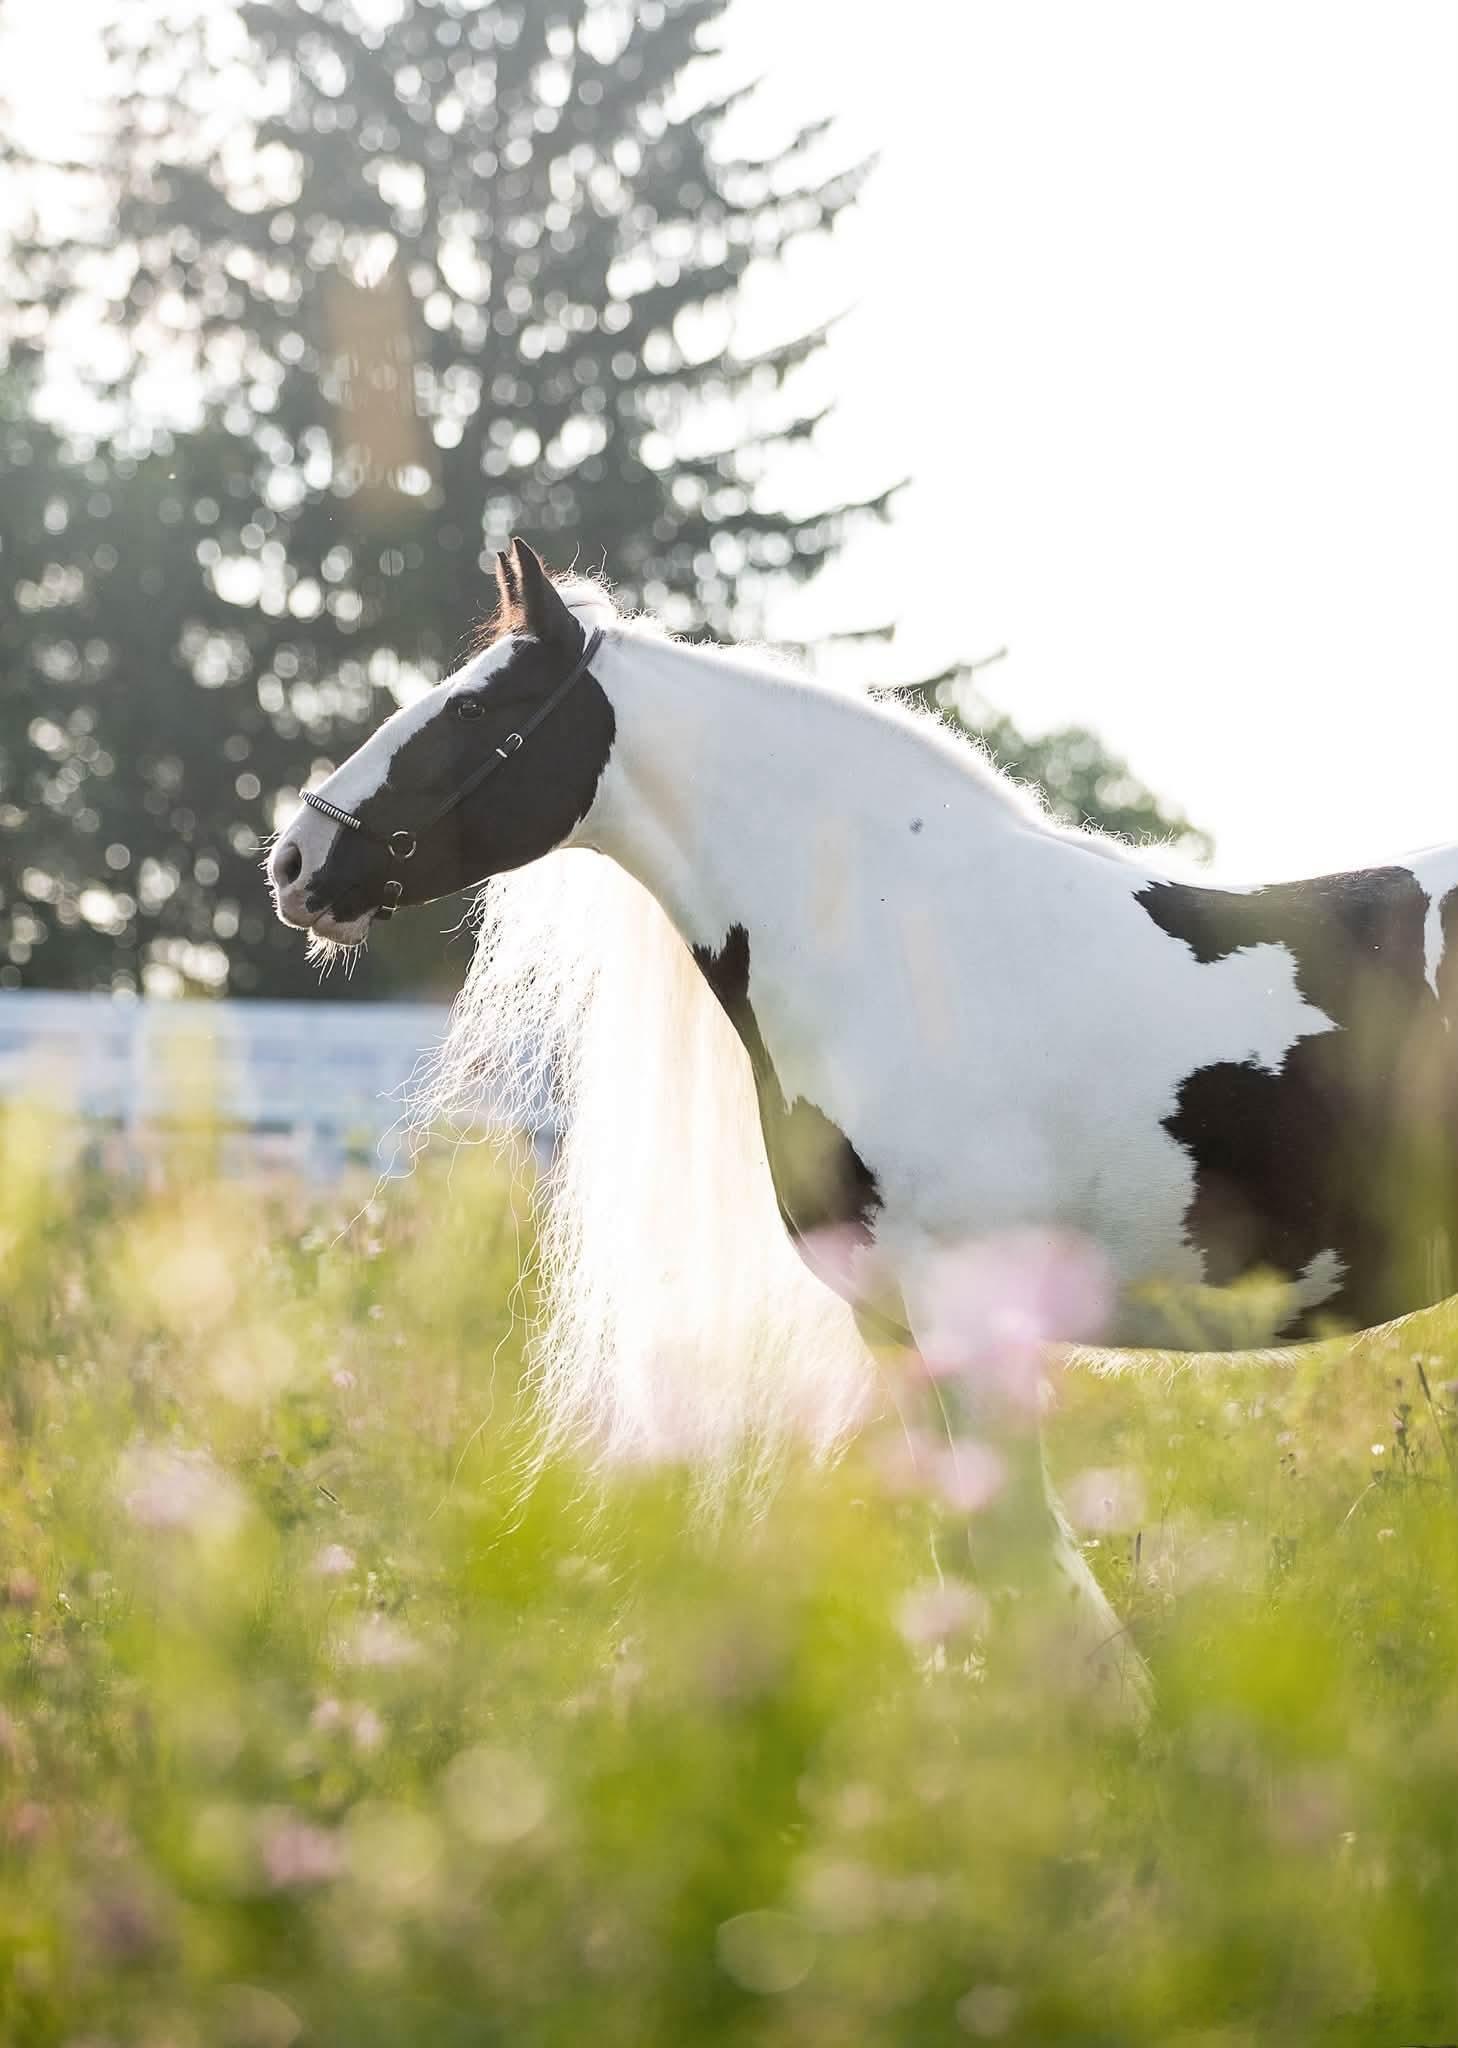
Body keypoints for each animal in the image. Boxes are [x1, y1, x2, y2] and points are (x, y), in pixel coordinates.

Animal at [269, 537, 1458, 1688]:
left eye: (475, 709)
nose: (293, 861)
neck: (908, 942)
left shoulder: (973, 1311)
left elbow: (1018, 1556)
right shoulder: (888, 1317)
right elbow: (961, 1556)